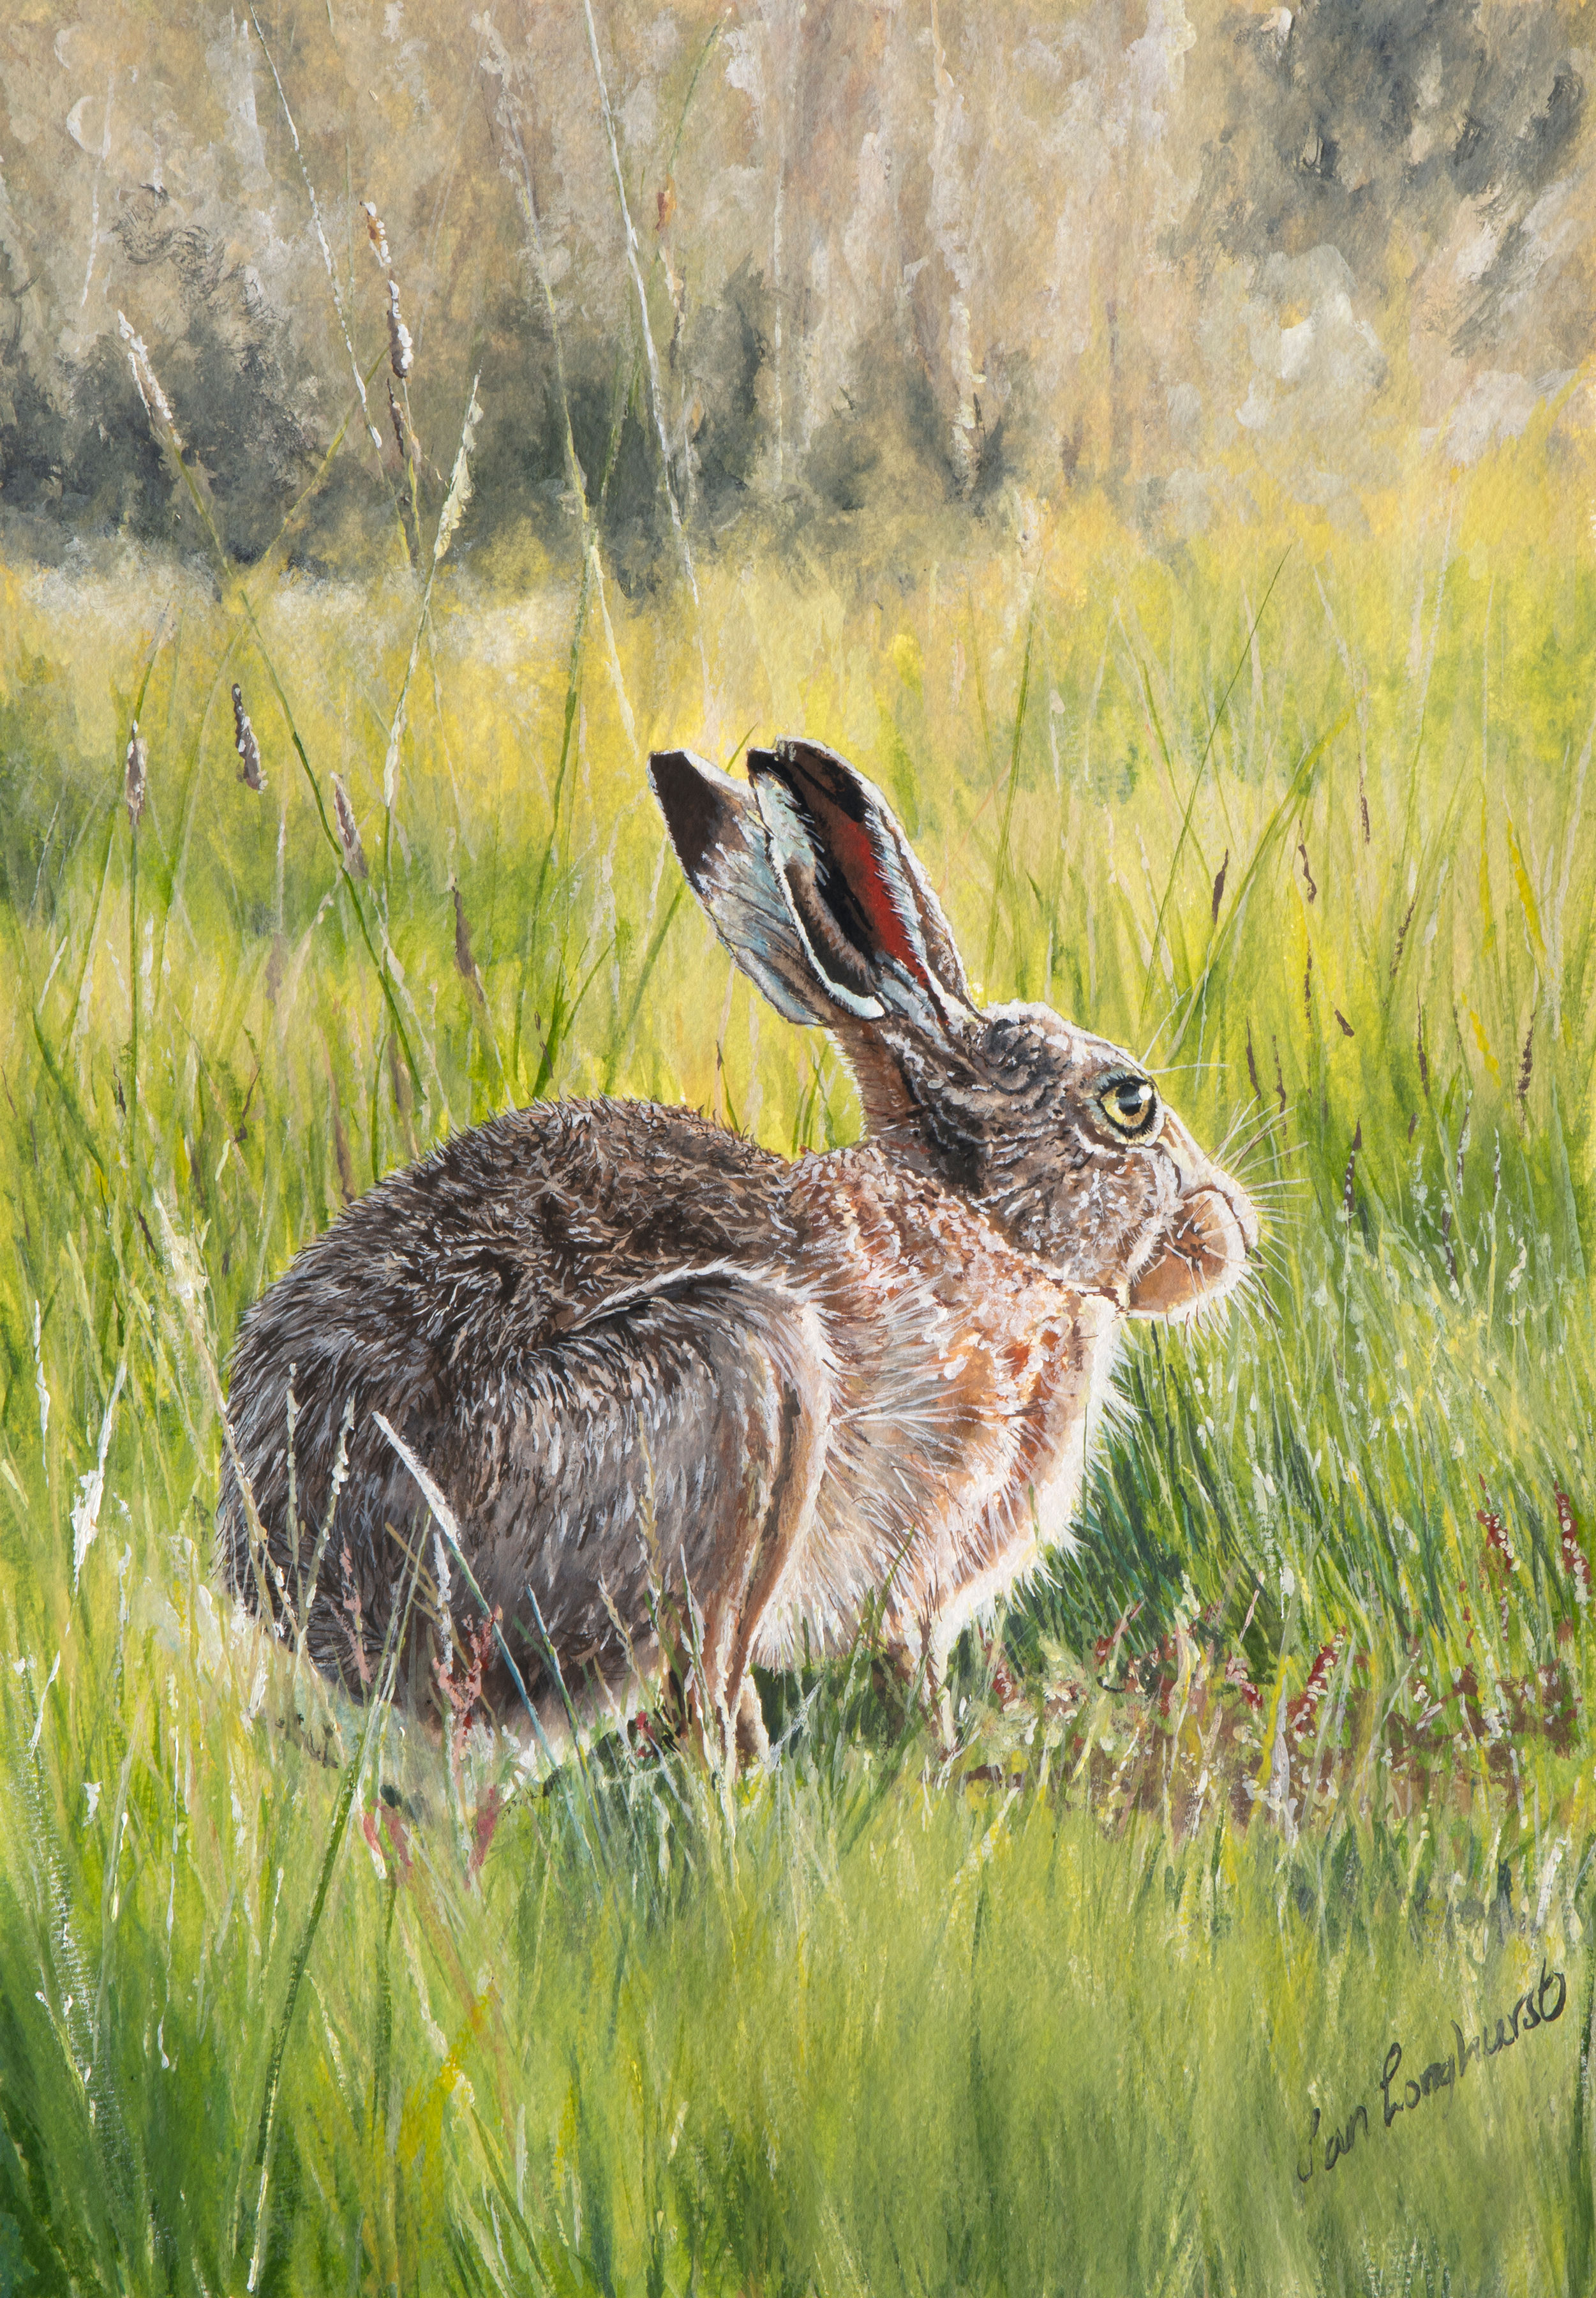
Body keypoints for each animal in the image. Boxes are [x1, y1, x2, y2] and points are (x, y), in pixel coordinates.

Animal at [217, 737, 1259, 1765]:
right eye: (1129, 1103)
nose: (1232, 1235)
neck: (981, 1217)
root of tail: (308, 1620)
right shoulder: (911, 1564)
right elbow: (912, 1671)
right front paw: (942, 1767)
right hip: (738, 1381)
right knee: (706, 1687)